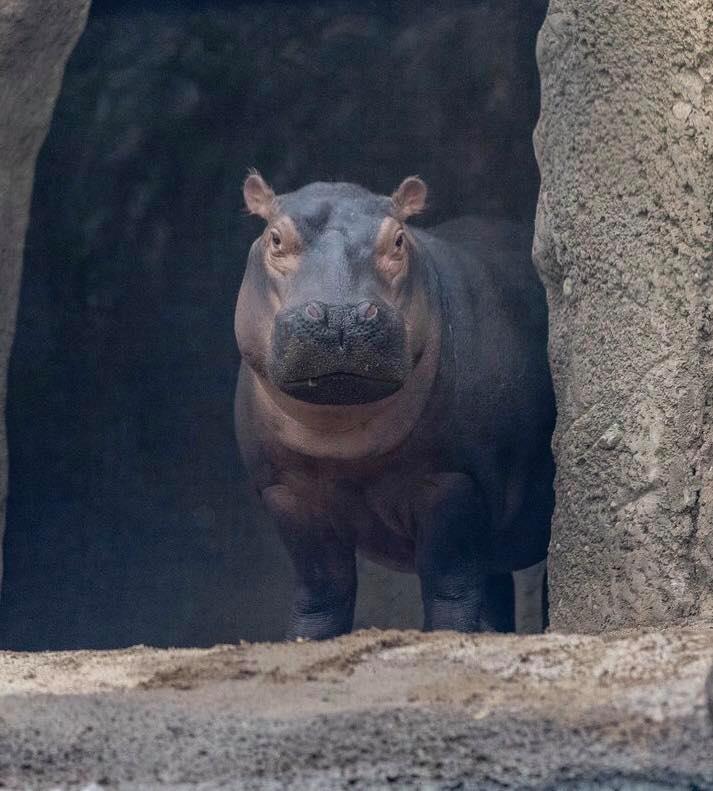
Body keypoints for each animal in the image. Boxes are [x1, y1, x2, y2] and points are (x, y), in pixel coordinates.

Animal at [235, 172, 556, 636]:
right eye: (275, 237)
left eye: (400, 239)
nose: (340, 315)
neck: (342, 435)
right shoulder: (285, 493)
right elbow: (322, 590)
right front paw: (306, 640)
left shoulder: (454, 480)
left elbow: (449, 584)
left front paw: (449, 634)